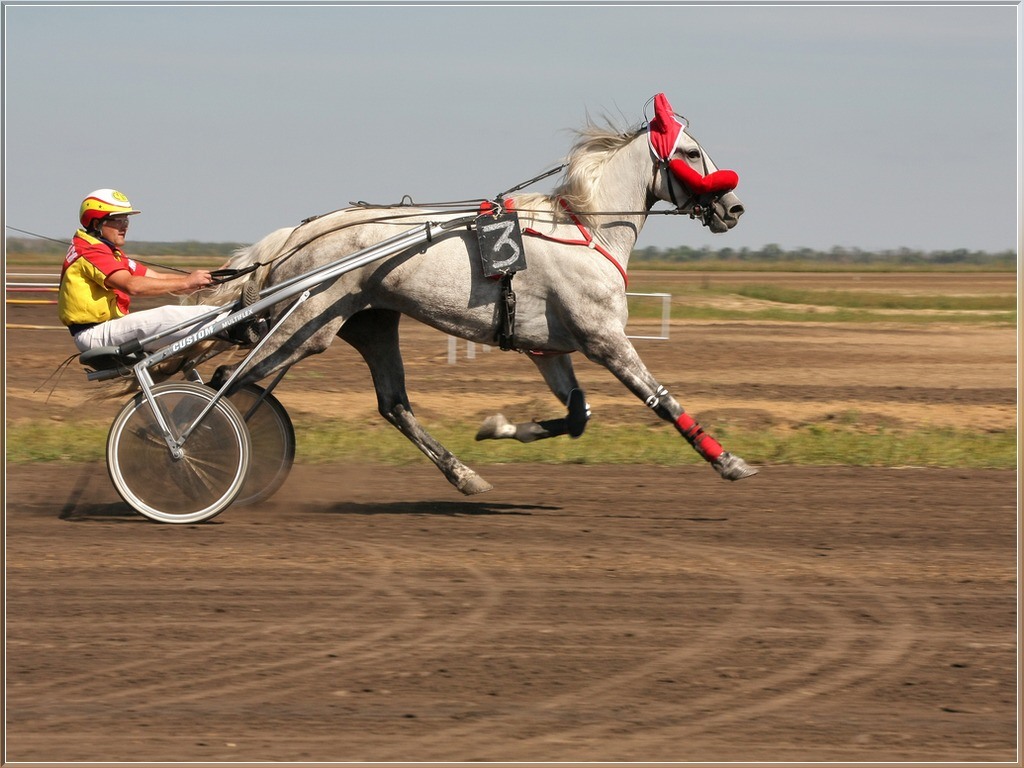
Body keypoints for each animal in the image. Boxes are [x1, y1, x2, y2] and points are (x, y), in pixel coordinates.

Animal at [192, 93, 757, 495]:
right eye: (690, 153)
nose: (733, 207)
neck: (586, 230)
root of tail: (300, 232)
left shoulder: (548, 348)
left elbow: (577, 415)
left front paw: (500, 428)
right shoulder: (604, 338)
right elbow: (661, 399)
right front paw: (728, 460)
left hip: (369, 323)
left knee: (393, 405)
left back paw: (464, 475)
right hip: (308, 325)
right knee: (226, 380)